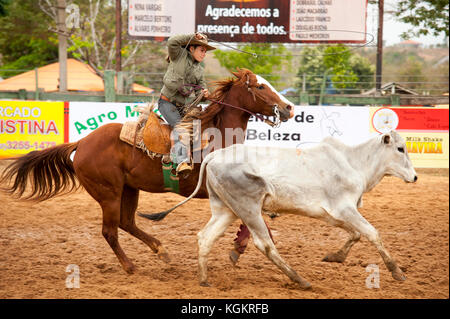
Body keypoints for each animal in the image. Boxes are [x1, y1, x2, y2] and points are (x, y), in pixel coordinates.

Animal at [0, 69, 294, 274]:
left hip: (130, 189)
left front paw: (239, 247)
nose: (289, 107)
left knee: (127, 222)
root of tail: (82, 143)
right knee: (110, 231)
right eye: (260, 86)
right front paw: (239, 248)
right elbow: (256, 222)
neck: (217, 136)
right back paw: (130, 267)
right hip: (108, 193)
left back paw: (160, 250)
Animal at [146, 131, 416, 290]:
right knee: (264, 244)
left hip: (225, 210)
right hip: (249, 208)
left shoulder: (333, 215)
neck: (354, 162)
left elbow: (356, 234)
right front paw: (397, 272)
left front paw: (335, 256)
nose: (414, 177)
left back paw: (204, 280)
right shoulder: (344, 208)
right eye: (400, 149)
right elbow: (372, 233)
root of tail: (215, 156)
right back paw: (300, 280)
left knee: (205, 237)